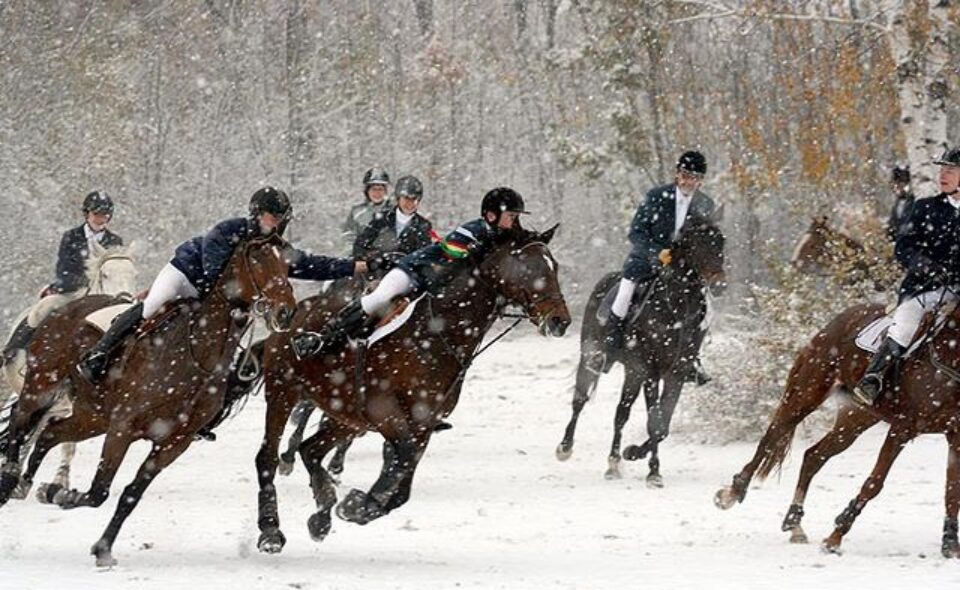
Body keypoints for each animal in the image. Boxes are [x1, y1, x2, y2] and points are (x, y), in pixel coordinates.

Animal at [0, 243, 139, 502]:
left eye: (134, 274)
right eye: (105, 275)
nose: (125, 299)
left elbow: (66, 443)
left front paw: (59, 481)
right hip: (33, 388)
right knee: (21, 419)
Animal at [253, 227, 568, 556]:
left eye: (554, 267)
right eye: (531, 268)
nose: (560, 320)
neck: (439, 332)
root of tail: (289, 317)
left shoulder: (422, 424)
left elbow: (402, 483)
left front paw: (358, 506)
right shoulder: (385, 411)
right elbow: (401, 458)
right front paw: (360, 503)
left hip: (347, 416)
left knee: (311, 449)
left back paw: (322, 515)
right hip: (283, 392)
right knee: (268, 458)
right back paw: (270, 531)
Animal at [716, 300, 960, 560]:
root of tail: (839, 319)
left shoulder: (956, 436)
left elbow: (952, 491)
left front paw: (950, 544)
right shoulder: (902, 428)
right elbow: (874, 483)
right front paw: (834, 538)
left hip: (854, 420)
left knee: (814, 455)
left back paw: (794, 523)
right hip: (805, 395)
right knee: (771, 437)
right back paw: (733, 492)